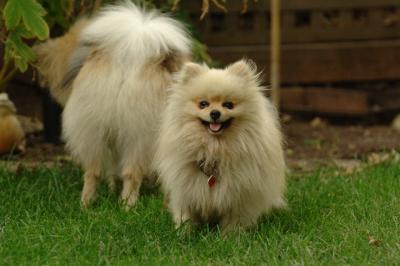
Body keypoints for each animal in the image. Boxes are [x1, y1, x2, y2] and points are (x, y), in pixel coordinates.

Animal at [35, 3, 191, 209]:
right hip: (138, 135)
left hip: (94, 130)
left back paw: (87, 204)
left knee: (92, 172)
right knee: (132, 173)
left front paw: (111, 190)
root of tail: (128, 59)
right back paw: (128, 205)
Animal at [155, 59, 286, 232]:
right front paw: (184, 232)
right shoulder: (186, 189)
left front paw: (230, 235)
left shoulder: (239, 193)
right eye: (203, 104)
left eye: (228, 105)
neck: (214, 147)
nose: (215, 113)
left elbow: (234, 220)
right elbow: (186, 215)